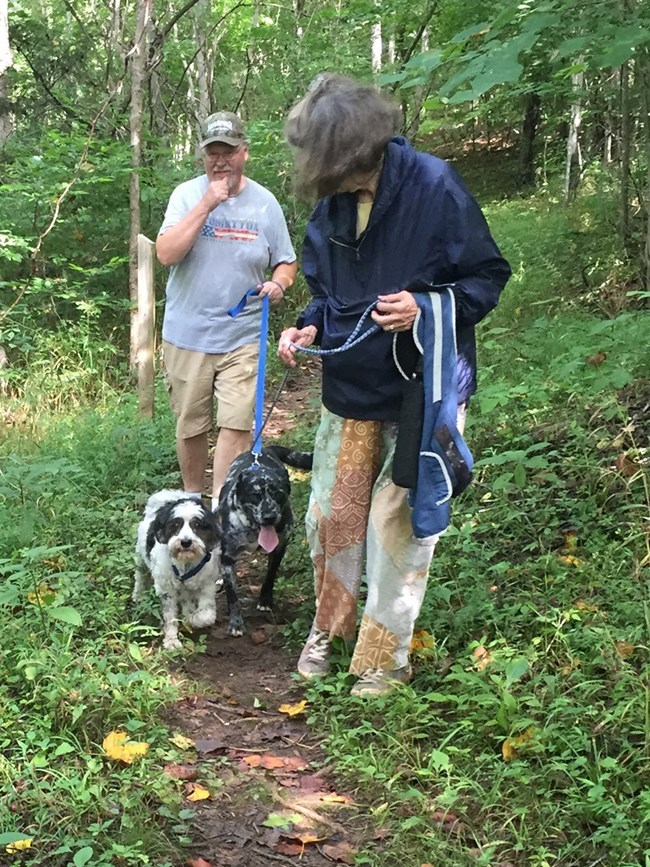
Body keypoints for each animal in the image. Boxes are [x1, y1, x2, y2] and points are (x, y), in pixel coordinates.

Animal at [132, 492, 220, 648]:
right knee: (140, 576)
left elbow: (206, 615)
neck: (186, 564)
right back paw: (138, 595)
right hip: (140, 558)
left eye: (197, 525)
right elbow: (170, 616)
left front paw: (193, 619)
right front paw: (171, 640)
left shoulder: (207, 584)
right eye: (175, 525)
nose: (185, 542)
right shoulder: (166, 588)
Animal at [215, 444, 312, 636]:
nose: (269, 517)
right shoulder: (228, 557)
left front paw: (265, 600)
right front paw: (235, 622)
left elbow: (270, 576)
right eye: (255, 494)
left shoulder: (279, 548)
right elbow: (232, 594)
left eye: (278, 494)